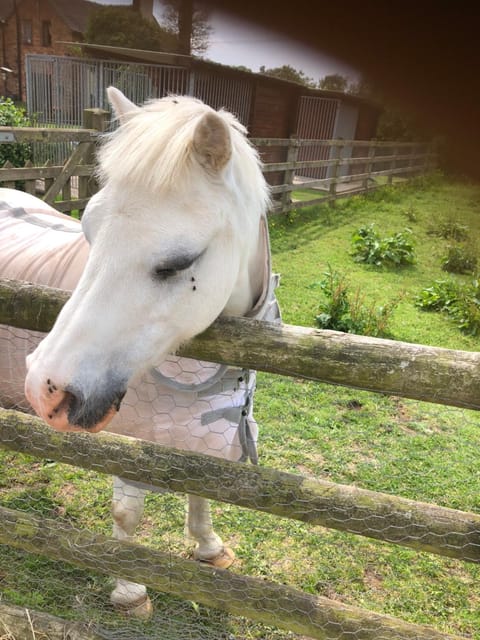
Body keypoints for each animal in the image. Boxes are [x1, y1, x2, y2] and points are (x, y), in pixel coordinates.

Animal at [0, 87, 280, 616]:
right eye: (88, 230)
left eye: (179, 262)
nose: (44, 388)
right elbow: (126, 513)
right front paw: (130, 590)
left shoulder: (201, 437)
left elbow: (200, 490)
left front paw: (209, 548)